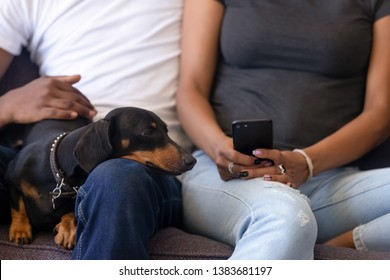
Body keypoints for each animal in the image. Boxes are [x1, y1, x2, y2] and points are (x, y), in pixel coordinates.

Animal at [4, 106, 197, 249]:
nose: (192, 161)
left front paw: (68, 229)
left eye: (166, 130)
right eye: (148, 132)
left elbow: (70, 211)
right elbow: (18, 207)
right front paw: (20, 230)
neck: (58, 177)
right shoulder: (10, 179)